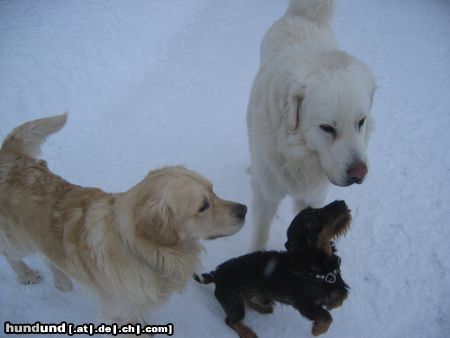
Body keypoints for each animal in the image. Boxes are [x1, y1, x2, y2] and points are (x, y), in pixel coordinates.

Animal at [248, 0, 374, 250]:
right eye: (327, 128)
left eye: (361, 122)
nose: (359, 172)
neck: (298, 156)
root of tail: (304, 15)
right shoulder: (266, 196)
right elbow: (260, 235)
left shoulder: (312, 197)